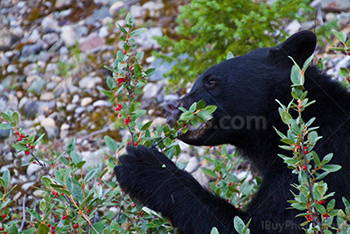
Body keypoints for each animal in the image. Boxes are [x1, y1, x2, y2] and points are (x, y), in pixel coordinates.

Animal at [115, 30, 350, 233]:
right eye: (194, 84)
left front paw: (144, 166)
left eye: (211, 81)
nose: (170, 107)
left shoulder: (314, 166)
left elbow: (265, 224)